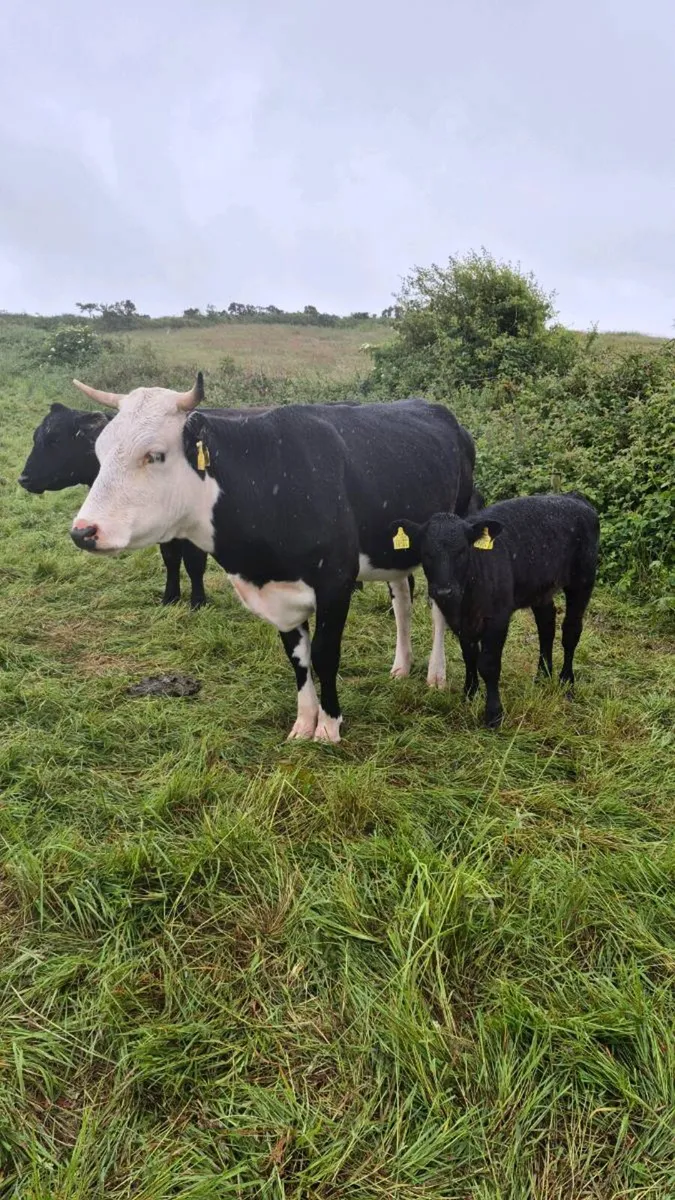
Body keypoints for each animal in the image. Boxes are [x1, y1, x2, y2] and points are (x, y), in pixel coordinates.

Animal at [68, 374, 477, 742]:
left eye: (154, 455)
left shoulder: (336, 582)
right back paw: (401, 666)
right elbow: (299, 658)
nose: (83, 531)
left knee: (437, 607)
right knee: (402, 601)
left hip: (445, 539)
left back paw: (436, 675)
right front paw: (304, 723)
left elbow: (326, 654)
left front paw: (329, 726)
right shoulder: (278, 594)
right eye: (99, 453)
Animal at [394, 493, 599, 728]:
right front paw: (469, 694)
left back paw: (566, 682)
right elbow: (469, 656)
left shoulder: (498, 618)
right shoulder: (462, 621)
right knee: (546, 625)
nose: (444, 591)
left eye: (462, 551)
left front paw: (493, 714)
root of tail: (572, 497)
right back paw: (542, 676)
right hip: (540, 588)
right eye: (426, 553)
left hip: (583, 580)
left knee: (571, 631)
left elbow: (489, 664)